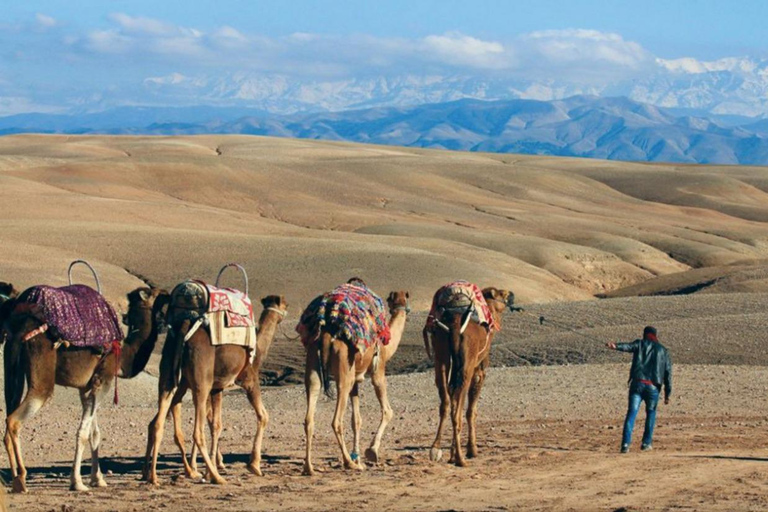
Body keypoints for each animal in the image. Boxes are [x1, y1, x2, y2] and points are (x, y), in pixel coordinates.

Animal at [0, 288, 170, 492]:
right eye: (154, 293)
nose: (167, 293)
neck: (123, 355)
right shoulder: (103, 380)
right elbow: (82, 432)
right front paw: (78, 482)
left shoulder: (86, 387)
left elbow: (94, 433)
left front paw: (98, 479)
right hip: (42, 377)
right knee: (14, 420)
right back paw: (21, 478)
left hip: (13, 370)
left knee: (8, 419)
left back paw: (15, 479)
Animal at [143, 292, 288, 484]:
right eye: (285, 305)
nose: (287, 311)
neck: (258, 349)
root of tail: (184, 329)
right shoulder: (249, 379)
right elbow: (263, 416)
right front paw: (254, 465)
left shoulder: (217, 388)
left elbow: (216, 425)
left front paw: (209, 467)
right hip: (200, 382)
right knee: (196, 432)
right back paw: (216, 477)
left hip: (170, 377)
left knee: (157, 422)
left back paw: (152, 475)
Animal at [302, 288, 412, 476]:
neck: (387, 346)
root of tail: (326, 335)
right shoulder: (378, 371)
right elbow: (388, 411)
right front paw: (371, 451)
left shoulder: (355, 382)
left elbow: (356, 420)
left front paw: (358, 456)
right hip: (343, 370)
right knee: (336, 420)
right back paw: (349, 463)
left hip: (313, 362)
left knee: (309, 415)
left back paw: (309, 468)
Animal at [426, 286, 516, 466]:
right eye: (502, 294)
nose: (512, 294)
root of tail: (455, 328)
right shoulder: (479, 369)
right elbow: (471, 411)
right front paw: (472, 450)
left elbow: (454, 401)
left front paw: (452, 452)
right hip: (466, 366)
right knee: (458, 410)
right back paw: (461, 459)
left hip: (441, 357)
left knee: (446, 403)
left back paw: (436, 449)